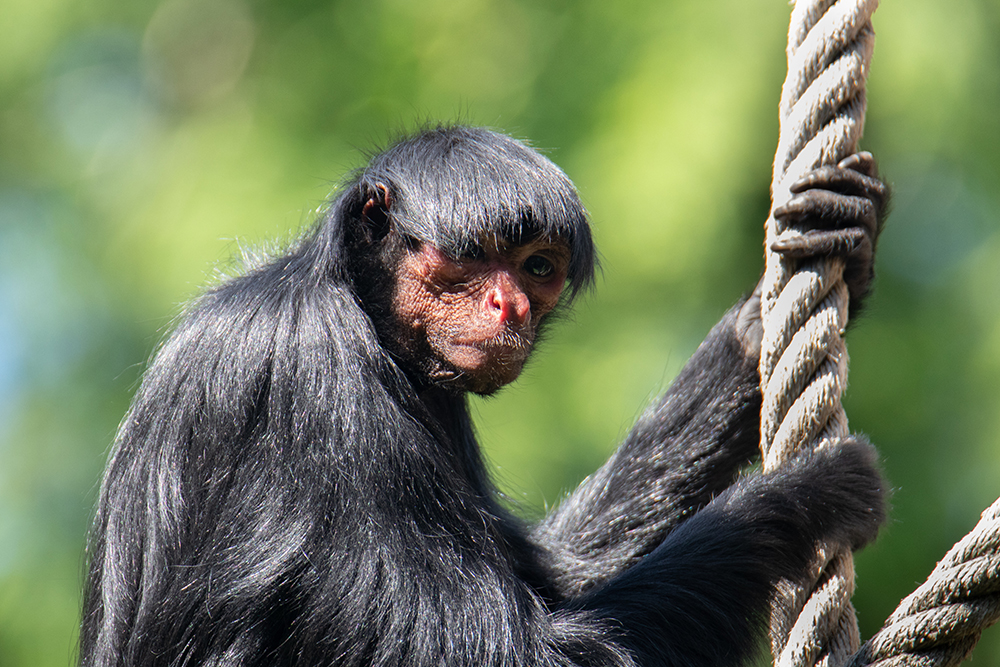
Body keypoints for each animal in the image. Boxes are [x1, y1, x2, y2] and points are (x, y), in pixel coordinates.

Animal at [80, 125, 892, 667]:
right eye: (471, 259)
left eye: (536, 266)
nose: (511, 306)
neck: (346, 298)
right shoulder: (321, 385)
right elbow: (519, 653)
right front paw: (805, 493)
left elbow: (555, 571)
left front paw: (768, 313)